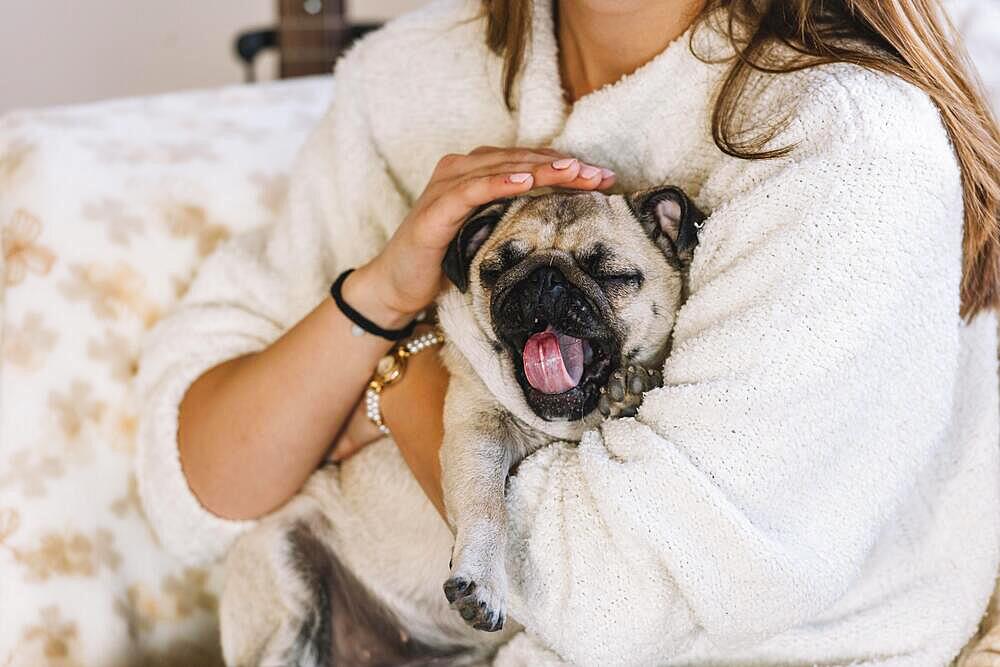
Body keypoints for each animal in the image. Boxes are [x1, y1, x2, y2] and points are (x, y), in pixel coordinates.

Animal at [219, 185, 704, 664]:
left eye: (609, 274)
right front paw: (483, 580)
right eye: (498, 268)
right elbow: (487, 508)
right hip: (284, 577)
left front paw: (627, 392)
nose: (544, 279)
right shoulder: (478, 433)